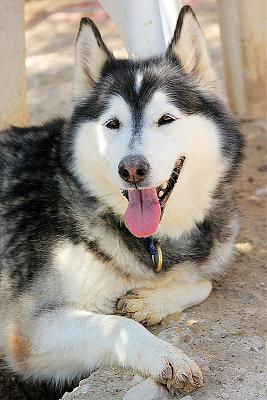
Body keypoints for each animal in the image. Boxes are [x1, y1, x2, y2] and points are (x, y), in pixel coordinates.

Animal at [0, 4, 245, 396]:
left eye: (166, 119)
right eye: (113, 124)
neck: (152, 243)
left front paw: (149, 302)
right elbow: (118, 325)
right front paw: (166, 357)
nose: (131, 169)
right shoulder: (28, 332)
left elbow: (204, 283)